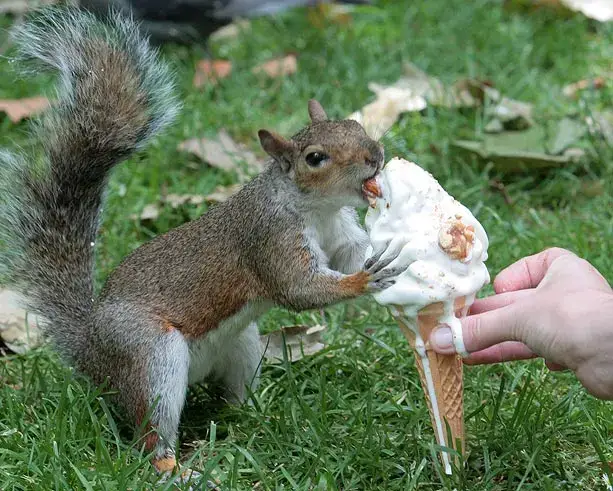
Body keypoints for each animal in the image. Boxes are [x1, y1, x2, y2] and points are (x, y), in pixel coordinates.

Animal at [0, 7, 396, 474]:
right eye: (315, 158)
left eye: (355, 124)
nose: (375, 155)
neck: (319, 210)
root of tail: (91, 354)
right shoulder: (269, 239)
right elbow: (300, 289)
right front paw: (363, 283)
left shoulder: (342, 233)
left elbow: (352, 257)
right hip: (150, 355)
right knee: (150, 434)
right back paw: (176, 467)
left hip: (241, 345)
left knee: (232, 395)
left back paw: (255, 416)